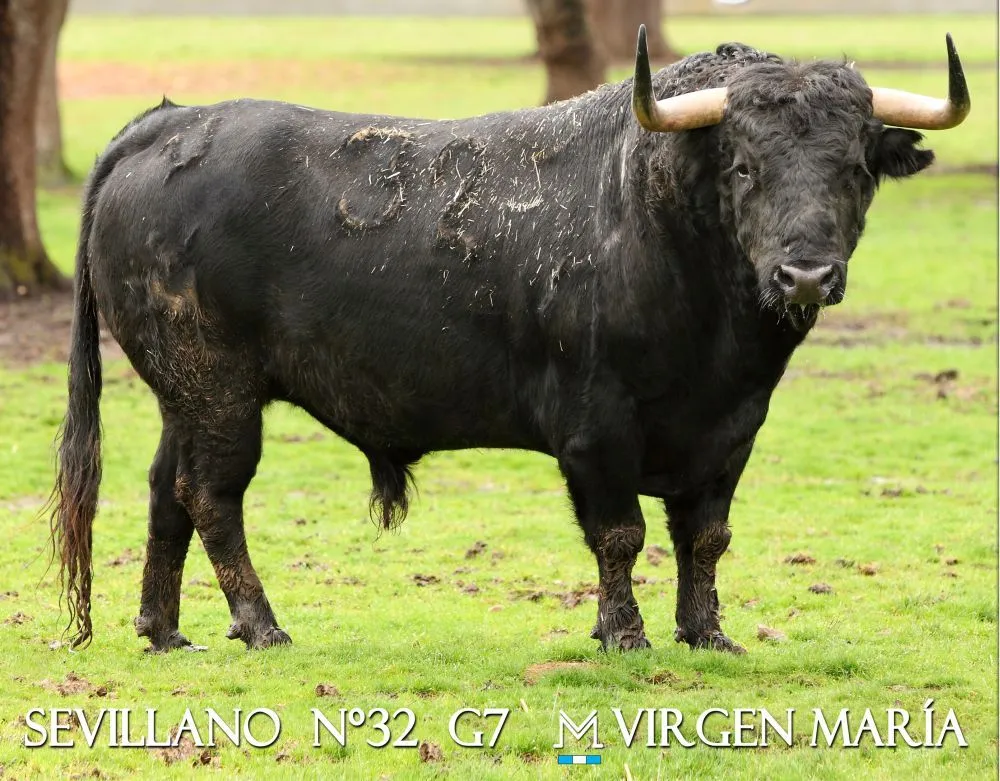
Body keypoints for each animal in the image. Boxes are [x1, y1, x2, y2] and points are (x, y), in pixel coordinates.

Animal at [48, 33, 968, 648]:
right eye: (745, 166)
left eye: (855, 169)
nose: (805, 274)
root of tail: (167, 125)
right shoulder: (597, 429)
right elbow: (621, 534)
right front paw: (623, 633)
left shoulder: (731, 433)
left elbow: (704, 536)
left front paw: (706, 633)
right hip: (221, 396)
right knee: (211, 496)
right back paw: (261, 624)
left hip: (185, 397)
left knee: (165, 490)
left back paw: (164, 629)